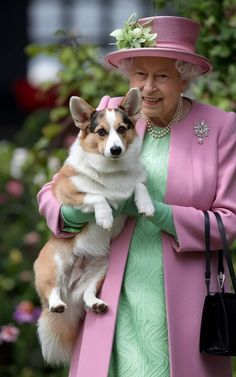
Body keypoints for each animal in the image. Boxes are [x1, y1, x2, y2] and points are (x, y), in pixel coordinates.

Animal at [33, 87, 155, 364]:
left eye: (122, 129)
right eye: (101, 132)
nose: (116, 149)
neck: (112, 170)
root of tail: (70, 288)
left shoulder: (134, 184)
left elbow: (138, 186)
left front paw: (146, 205)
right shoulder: (68, 191)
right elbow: (97, 195)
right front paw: (105, 217)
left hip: (100, 271)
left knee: (88, 294)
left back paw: (96, 303)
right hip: (54, 265)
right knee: (52, 291)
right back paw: (57, 303)